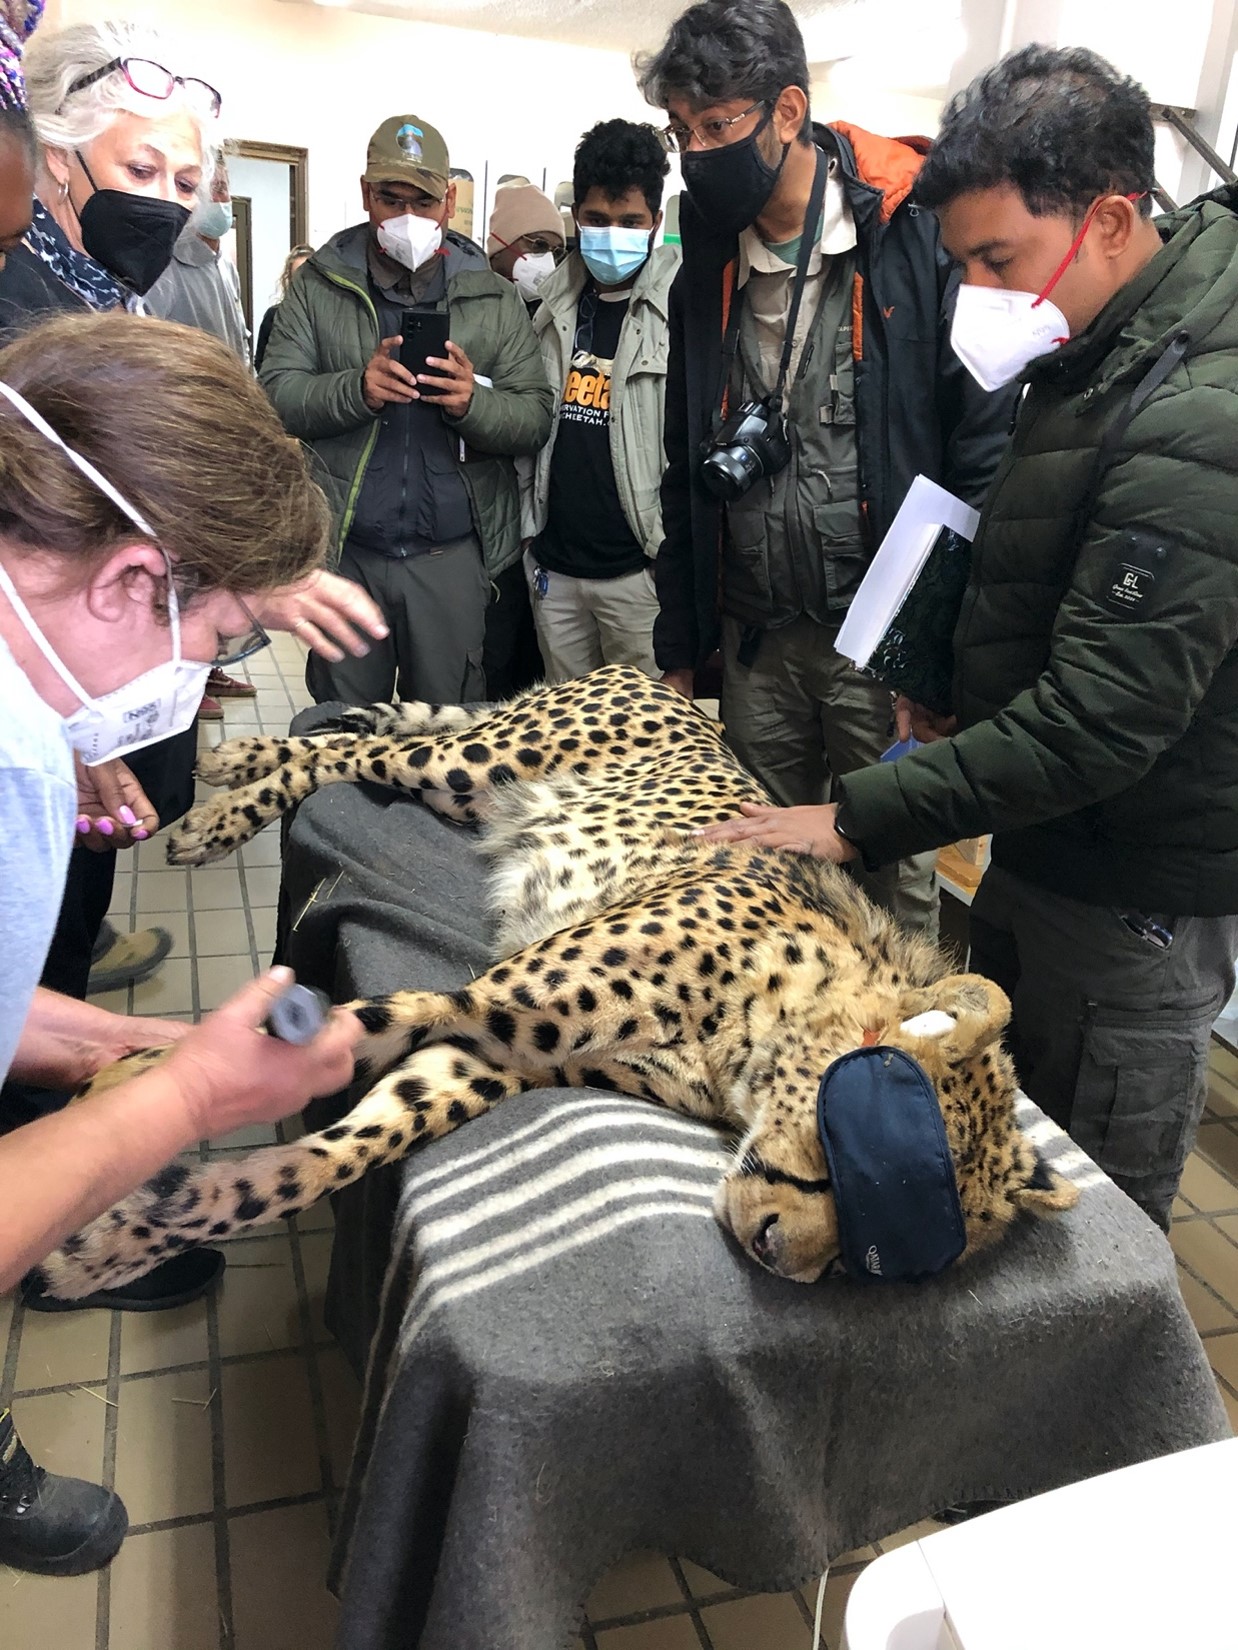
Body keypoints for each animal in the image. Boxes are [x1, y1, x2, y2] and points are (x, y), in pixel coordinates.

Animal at [33, 665, 1076, 1301]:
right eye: (869, 1166)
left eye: (877, 1263)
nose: (780, 1257)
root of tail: (649, 671)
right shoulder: (493, 998)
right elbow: (334, 1027)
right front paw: (131, 1086)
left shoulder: (504, 1056)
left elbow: (345, 1150)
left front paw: (127, 1239)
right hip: (477, 762)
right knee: (349, 752)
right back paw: (226, 790)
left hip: (470, 780)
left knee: (364, 741)